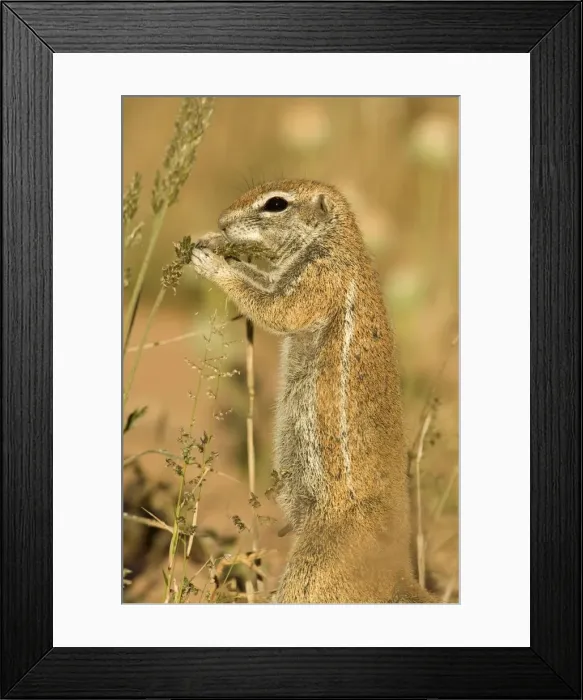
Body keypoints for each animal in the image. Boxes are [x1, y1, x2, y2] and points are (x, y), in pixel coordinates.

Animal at [191, 179, 438, 603]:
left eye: (276, 204)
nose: (222, 222)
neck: (335, 240)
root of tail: (397, 573)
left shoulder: (320, 279)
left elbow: (275, 310)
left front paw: (212, 261)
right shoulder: (283, 276)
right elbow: (263, 283)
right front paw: (210, 242)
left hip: (313, 569)